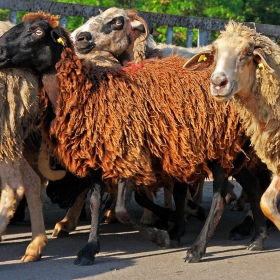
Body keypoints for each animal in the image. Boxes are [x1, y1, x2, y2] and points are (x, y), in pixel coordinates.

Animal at [0, 13, 268, 266]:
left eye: (37, 32)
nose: (0, 51)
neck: (91, 92)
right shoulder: (100, 157)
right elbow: (96, 202)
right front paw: (89, 249)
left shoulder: (130, 154)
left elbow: (121, 209)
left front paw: (160, 236)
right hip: (228, 151)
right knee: (252, 185)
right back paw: (256, 237)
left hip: (221, 146)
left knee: (222, 196)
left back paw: (198, 249)